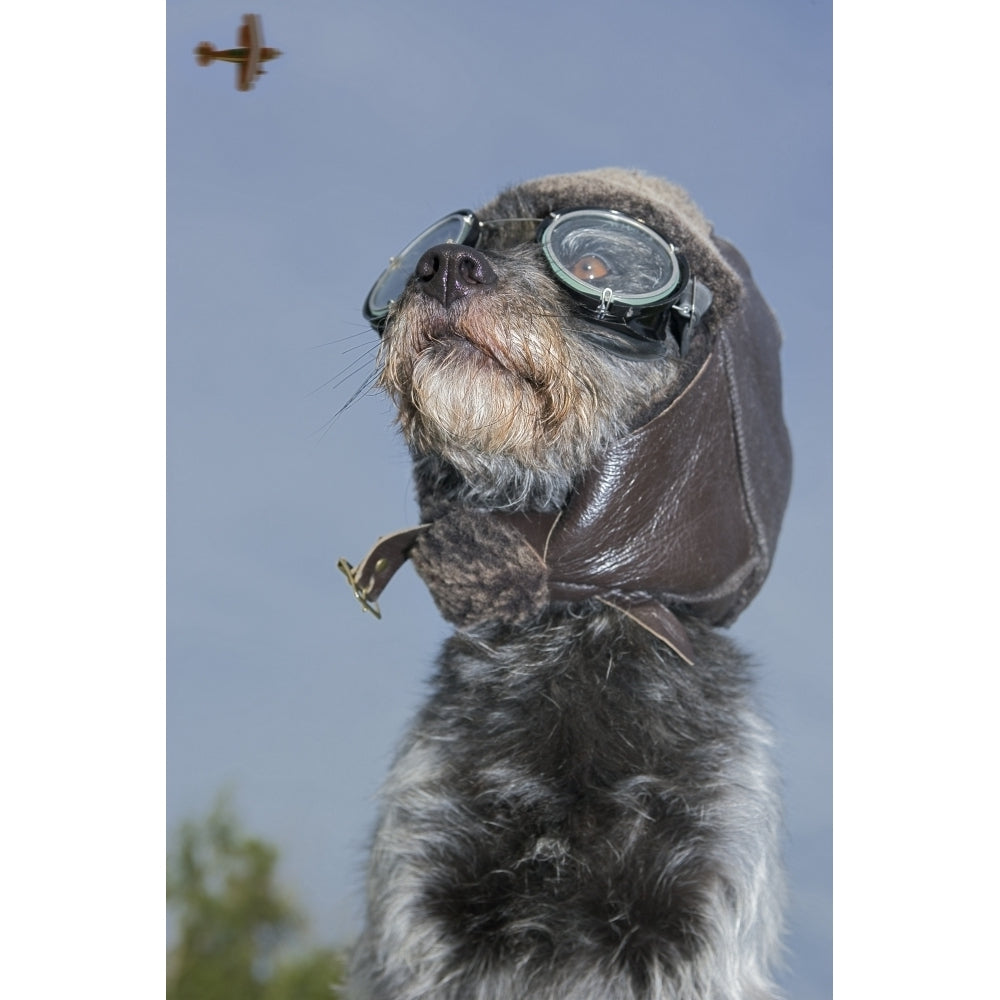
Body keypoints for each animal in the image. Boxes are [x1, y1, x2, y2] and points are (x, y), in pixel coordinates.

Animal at [340, 170, 792, 1000]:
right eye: (447, 242)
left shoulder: (699, 921)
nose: (441, 266)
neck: (572, 629)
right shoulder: (419, 902)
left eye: (598, 265)